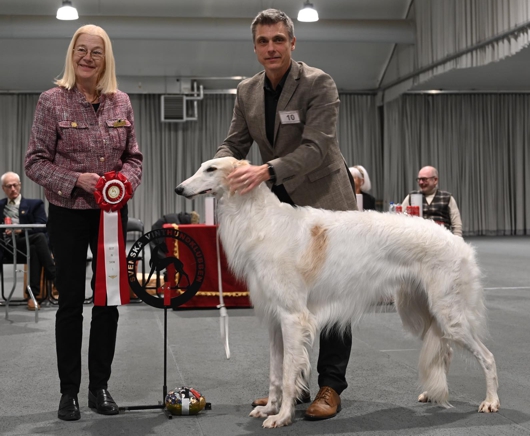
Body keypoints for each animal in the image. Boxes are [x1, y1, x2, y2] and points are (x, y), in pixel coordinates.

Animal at [175, 158, 498, 430]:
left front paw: (282, 417)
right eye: (202, 166)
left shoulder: (293, 318)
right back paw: (432, 393)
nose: (178, 188)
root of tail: (459, 242)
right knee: (446, 350)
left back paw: (491, 401)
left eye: (211, 169)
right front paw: (269, 408)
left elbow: (289, 375)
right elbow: (276, 374)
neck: (264, 222)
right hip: (419, 313)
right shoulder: (275, 321)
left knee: (488, 356)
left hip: (449, 315)